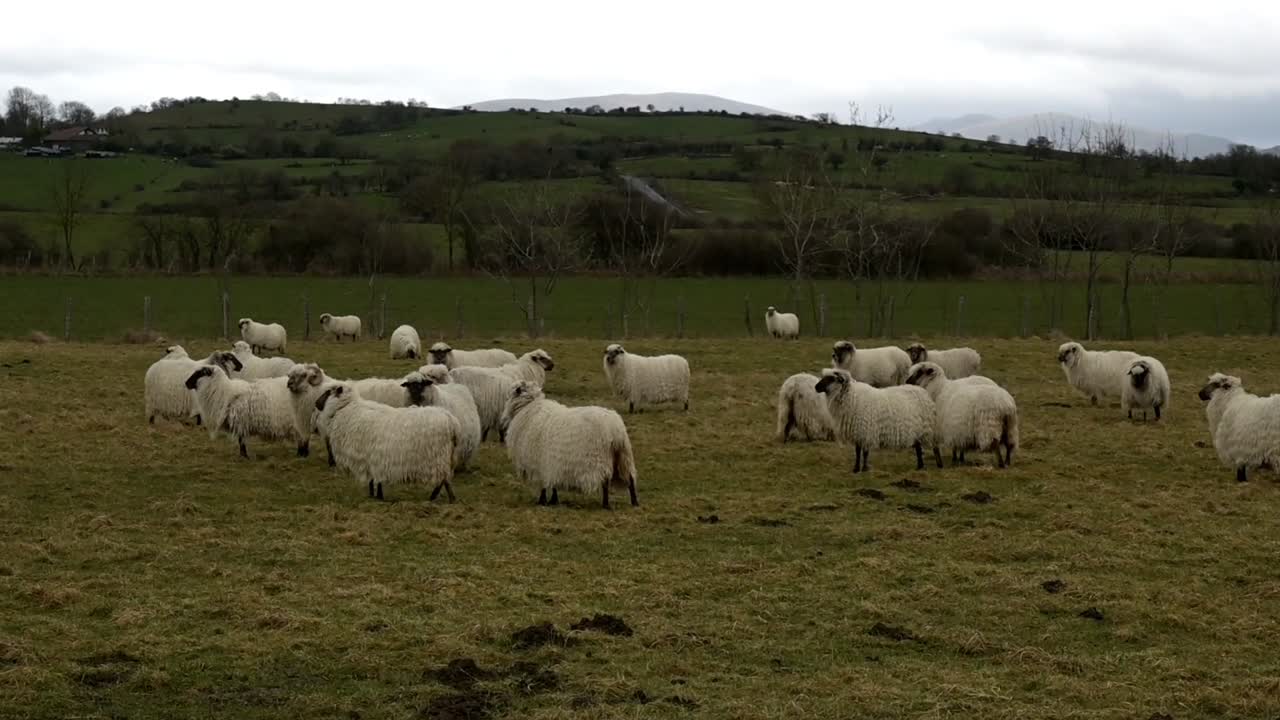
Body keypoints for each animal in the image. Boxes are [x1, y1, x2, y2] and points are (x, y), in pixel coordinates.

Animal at [315, 381, 461, 501]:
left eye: (328, 392)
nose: (316, 404)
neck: (346, 408)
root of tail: (452, 421)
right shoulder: (373, 458)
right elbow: (374, 479)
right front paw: (375, 495)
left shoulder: (369, 457)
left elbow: (374, 479)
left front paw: (376, 496)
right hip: (446, 457)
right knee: (446, 479)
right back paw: (450, 498)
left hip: (437, 458)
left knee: (442, 480)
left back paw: (434, 497)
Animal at [501, 381, 638, 509]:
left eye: (511, 394)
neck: (528, 408)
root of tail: (616, 429)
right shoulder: (553, 463)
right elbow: (553, 482)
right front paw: (553, 500)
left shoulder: (540, 462)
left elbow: (544, 484)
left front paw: (542, 501)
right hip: (623, 456)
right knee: (630, 479)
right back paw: (634, 502)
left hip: (601, 458)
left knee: (605, 482)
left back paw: (606, 504)